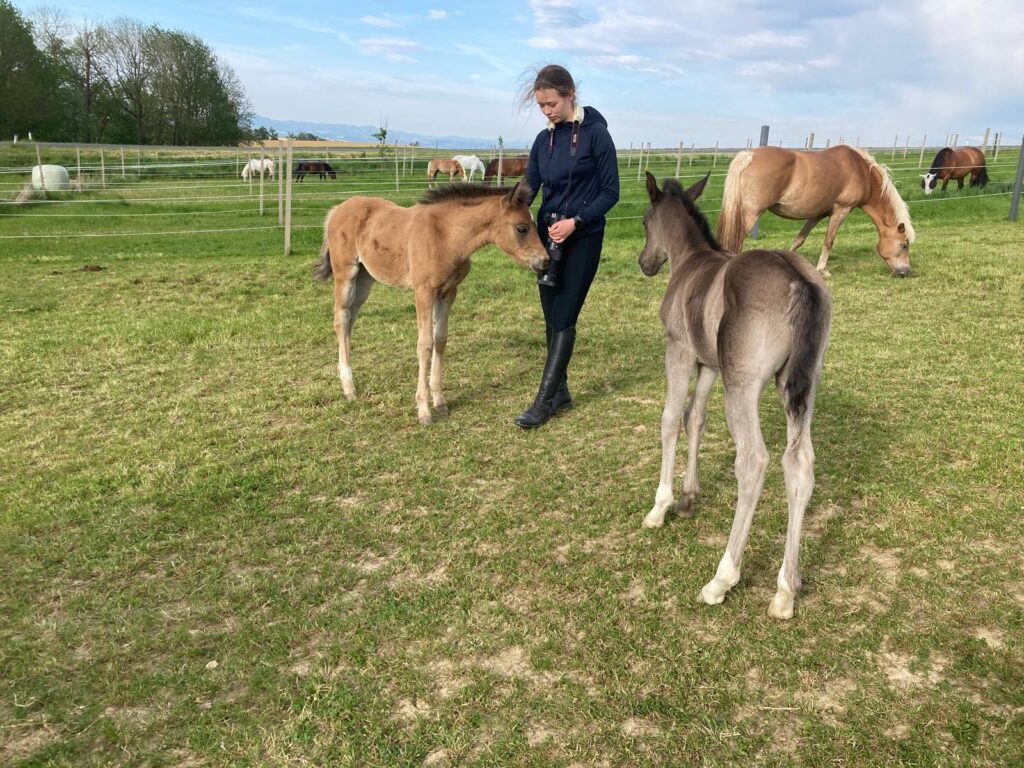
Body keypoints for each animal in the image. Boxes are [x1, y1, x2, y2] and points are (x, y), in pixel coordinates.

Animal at [313, 181, 548, 426]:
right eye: (521, 228)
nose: (545, 262)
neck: (445, 237)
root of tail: (337, 209)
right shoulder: (423, 292)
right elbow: (425, 344)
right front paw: (424, 410)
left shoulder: (448, 292)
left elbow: (440, 340)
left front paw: (440, 401)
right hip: (346, 274)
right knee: (341, 318)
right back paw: (349, 387)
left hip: (365, 279)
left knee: (351, 319)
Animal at [639, 172, 832, 620]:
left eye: (644, 222)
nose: (644, 262)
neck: (690, 262)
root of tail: (797, 279)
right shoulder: (710, 365)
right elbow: (695, 417)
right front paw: (689, 497)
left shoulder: (679, 351)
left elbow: (671, 418)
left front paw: (660, 506)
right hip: (801, 383)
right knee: (799, 463)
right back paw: (785, 591)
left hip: (742, 387)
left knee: (754, 461)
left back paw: (721, 579)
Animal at [716, 145, 914, 277]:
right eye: (904, 245)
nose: (905, 272)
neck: (862, 171)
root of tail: (749, 155)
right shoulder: (841, 211)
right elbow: (828, 241)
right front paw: (822, 269)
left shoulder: (817, 215)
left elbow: (799, 240)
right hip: (749, 216)